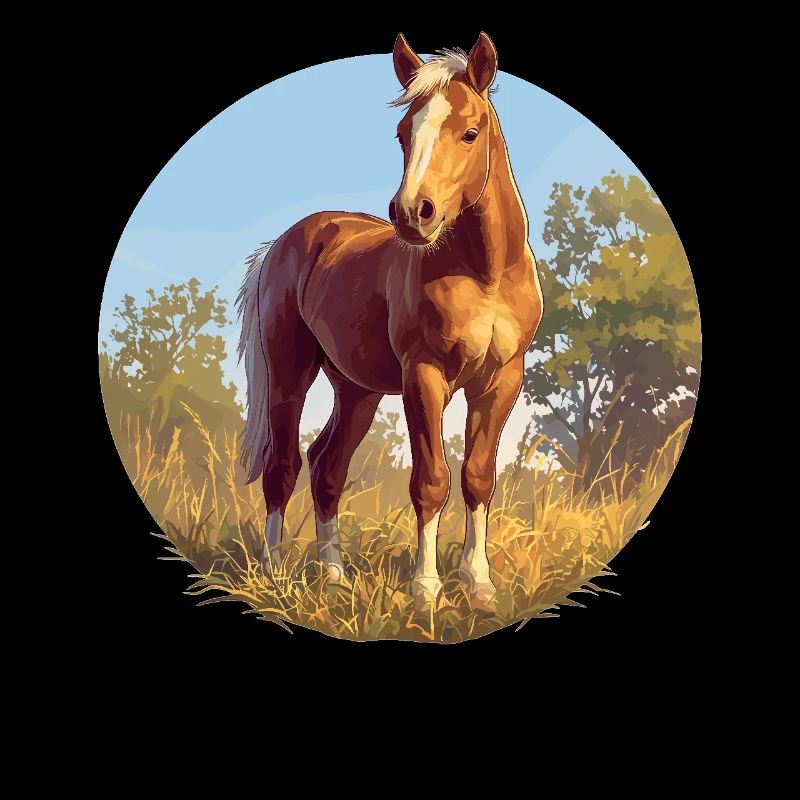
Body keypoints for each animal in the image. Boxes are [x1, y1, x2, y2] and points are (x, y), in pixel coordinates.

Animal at [237, 32, 543, 609]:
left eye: (470, 133)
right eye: (403, 133)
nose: (411, 213)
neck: (486, 275)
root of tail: (289, 241)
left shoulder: (500, 381)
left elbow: (477, 476)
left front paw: (478, 585)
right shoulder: (424, 376)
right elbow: (431, 479)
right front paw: (426, 591)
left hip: (357, 390)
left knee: (327, 468)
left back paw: (334, 576)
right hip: (291, 375)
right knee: (282, 466)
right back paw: (274, 574)